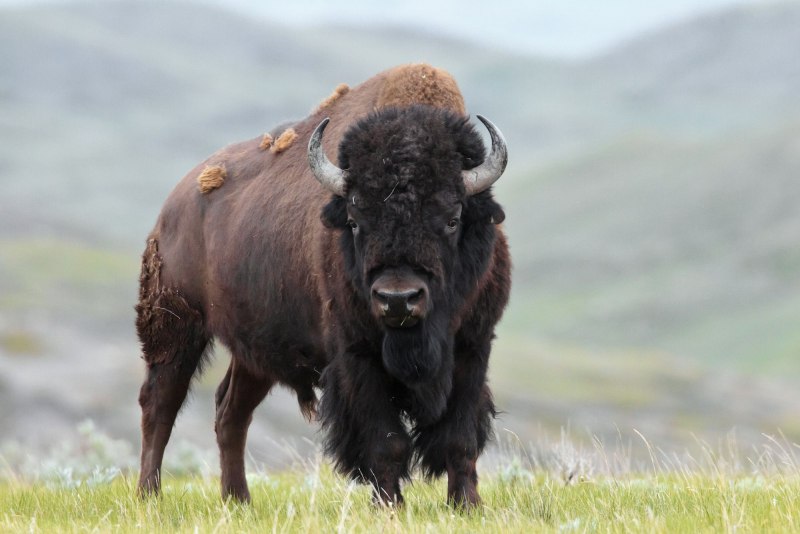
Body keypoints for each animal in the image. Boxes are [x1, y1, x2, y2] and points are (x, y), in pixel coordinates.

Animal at [135, 64, 511, 508]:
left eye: (452, 218)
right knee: (160, 405)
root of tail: (172, 208)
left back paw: (238, 499)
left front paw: (467, 505)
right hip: (177, 328)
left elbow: (460, 438)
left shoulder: (473, 349)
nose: (398, 300)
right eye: (354, 220)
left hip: (254, 352)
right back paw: (149, 495)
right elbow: (387, 442)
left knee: (230, 413)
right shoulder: (356, 357)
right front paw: (390, 506)